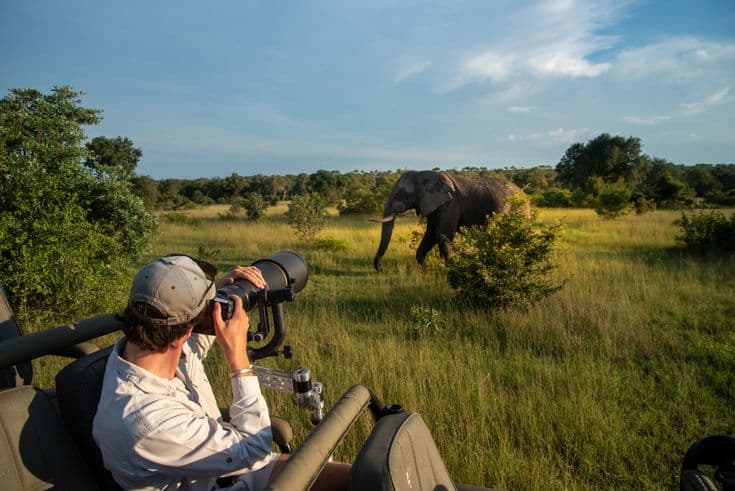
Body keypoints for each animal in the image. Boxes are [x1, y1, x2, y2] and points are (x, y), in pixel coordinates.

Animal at [372, 170, 529, 271]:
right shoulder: (434, 204)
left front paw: (450, 270)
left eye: (401, 194)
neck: (422, 174)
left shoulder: (450, 203)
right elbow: (431, 235)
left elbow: (442, 235)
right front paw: (425, 270)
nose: (380, 269)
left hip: (520, 210)